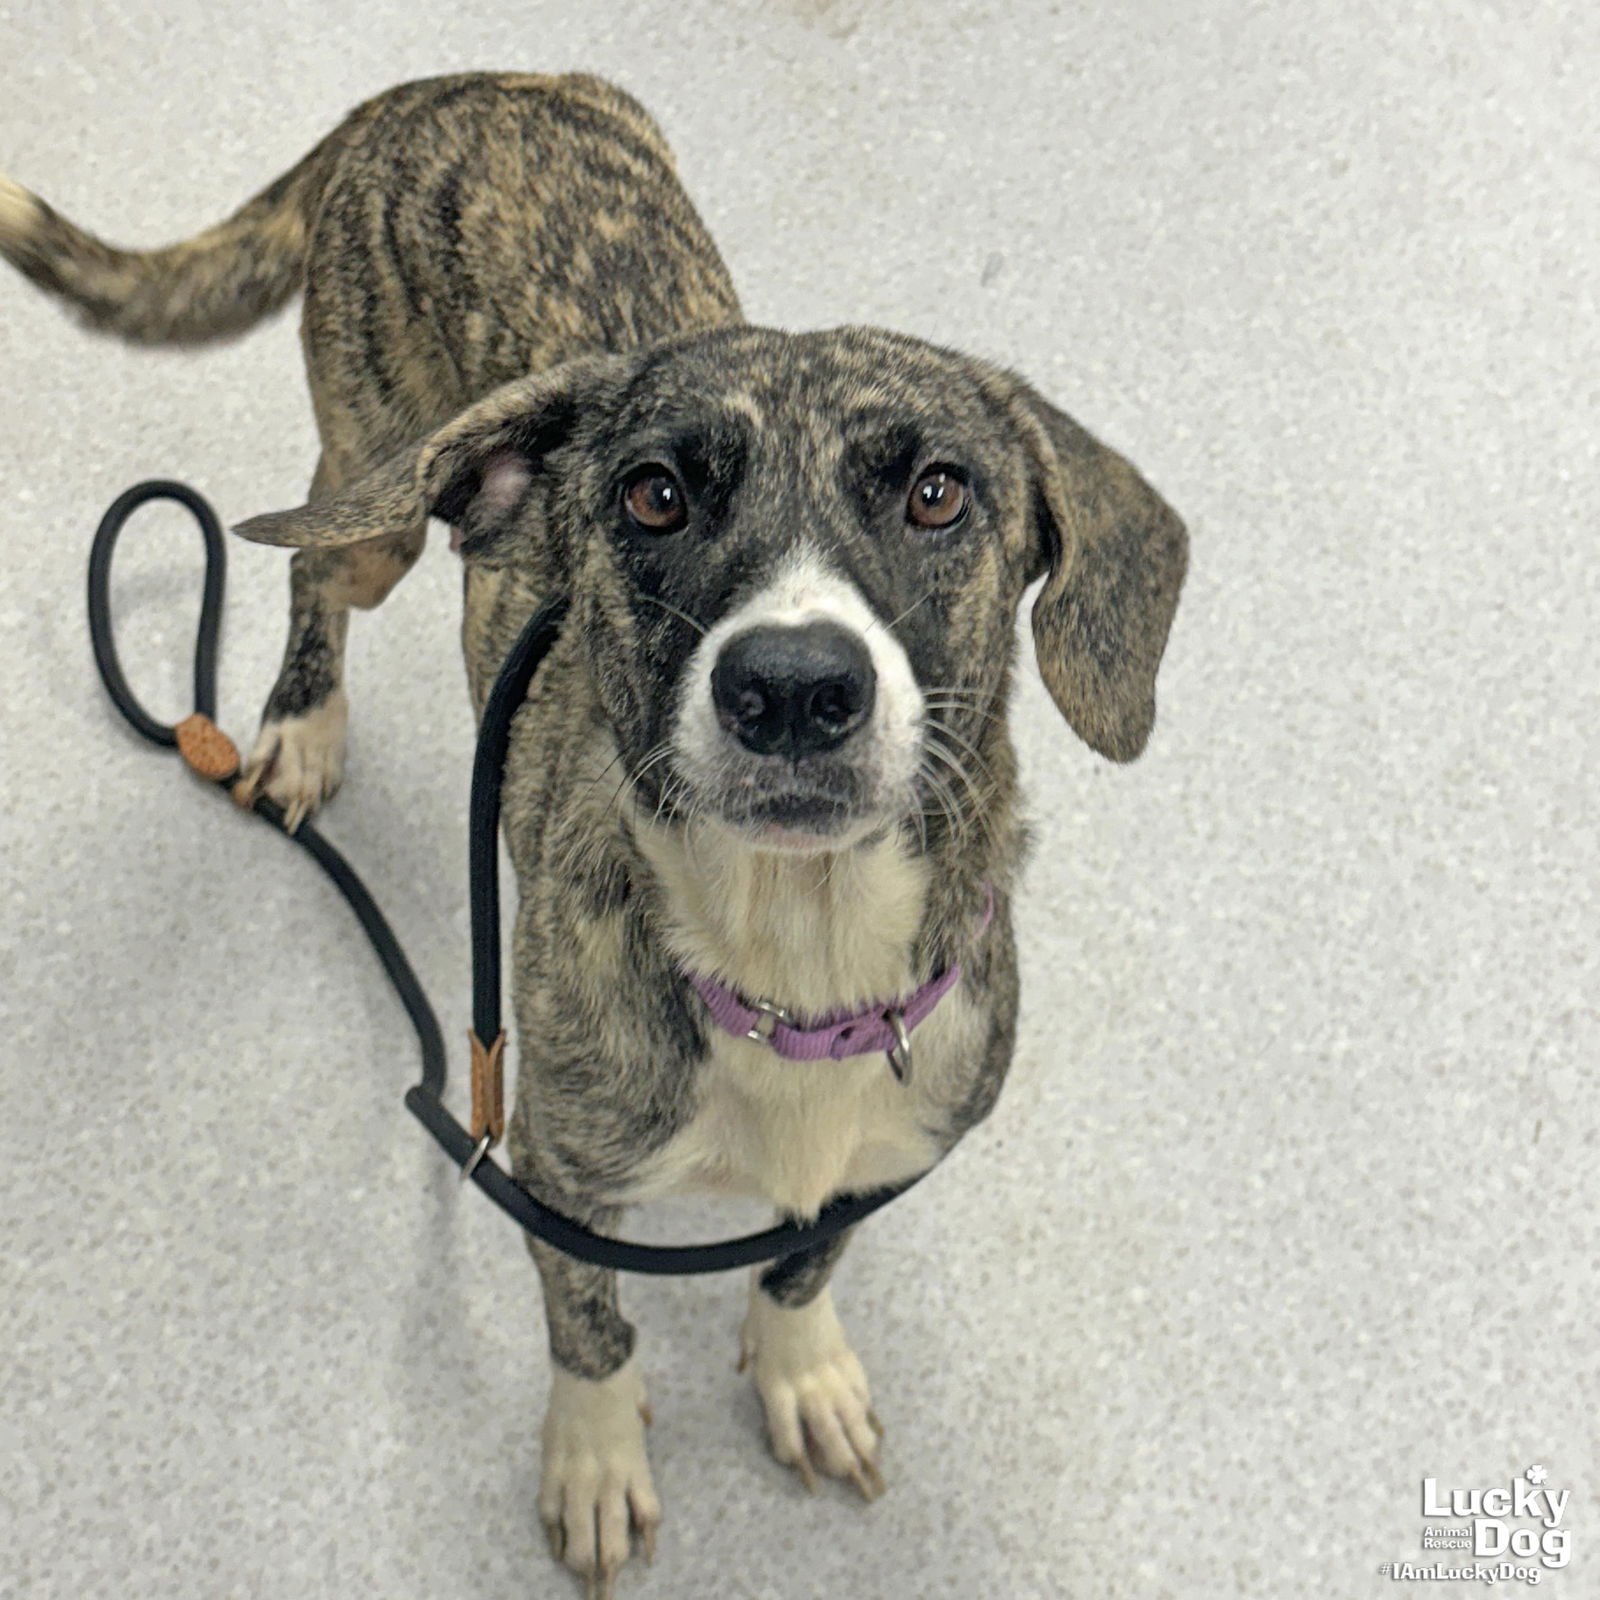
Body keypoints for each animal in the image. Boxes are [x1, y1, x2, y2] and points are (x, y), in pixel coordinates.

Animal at [3, 75, 1190, 1600]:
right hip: (382, 496)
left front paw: (801, 1370)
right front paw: (594, 1457)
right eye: (654, 494)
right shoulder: (552, 1174)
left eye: (937, 492)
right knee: (313, 555)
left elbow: (803, 1265)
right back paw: (300, 727)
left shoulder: (894, 1151)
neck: (794, 962)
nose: (792, 688)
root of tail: (449, 83)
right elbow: (590, 1323)